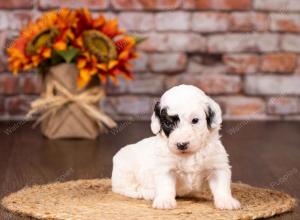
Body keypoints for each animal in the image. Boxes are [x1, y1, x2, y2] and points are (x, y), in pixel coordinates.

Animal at [111, 84, 240, 210]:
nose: (181, 144)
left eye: (195, 120)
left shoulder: (217, 165)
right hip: (124, 168)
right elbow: (165, 186)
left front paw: (227, 201)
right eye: (168, 123)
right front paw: (164, 201)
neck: (190, 155)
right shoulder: (165, 168)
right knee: (122, 188)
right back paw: (145, 192)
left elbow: (222, 185)